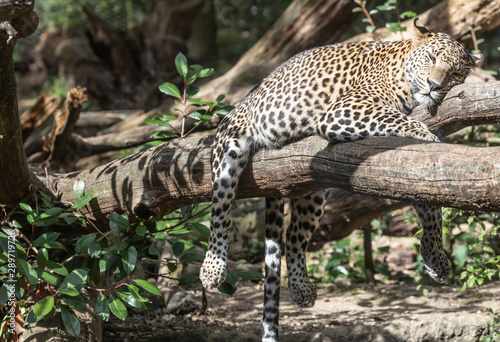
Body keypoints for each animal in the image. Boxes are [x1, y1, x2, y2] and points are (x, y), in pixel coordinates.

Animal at [200, 19, 484, 342]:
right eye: (432, 58)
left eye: (455, 74)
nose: (435, 86)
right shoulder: (345, 108)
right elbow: (404, 120)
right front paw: (430, 135)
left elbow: (430, 206)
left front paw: (435, 257)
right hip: (228, 147)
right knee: (220, 212)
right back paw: (212, 268)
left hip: (312, 190)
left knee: (293, 235)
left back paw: (301, 289)